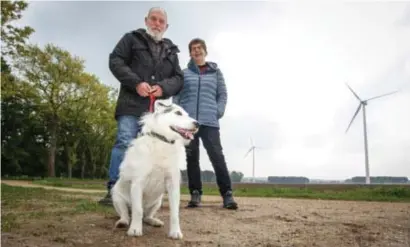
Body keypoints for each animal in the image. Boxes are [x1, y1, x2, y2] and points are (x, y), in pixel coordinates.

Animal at [109, 98, 198, 239]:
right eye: (178, 113)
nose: (198, 124)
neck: (162, 141)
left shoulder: (173, 185)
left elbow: (174, 213)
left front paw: (175, 232)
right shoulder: (137, 183)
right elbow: (137, 210)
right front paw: (135, 229)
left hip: (157, 202)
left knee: (147, 216)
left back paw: (154, 221)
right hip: (117, 198)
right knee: (127, 214)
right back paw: (123, 222)